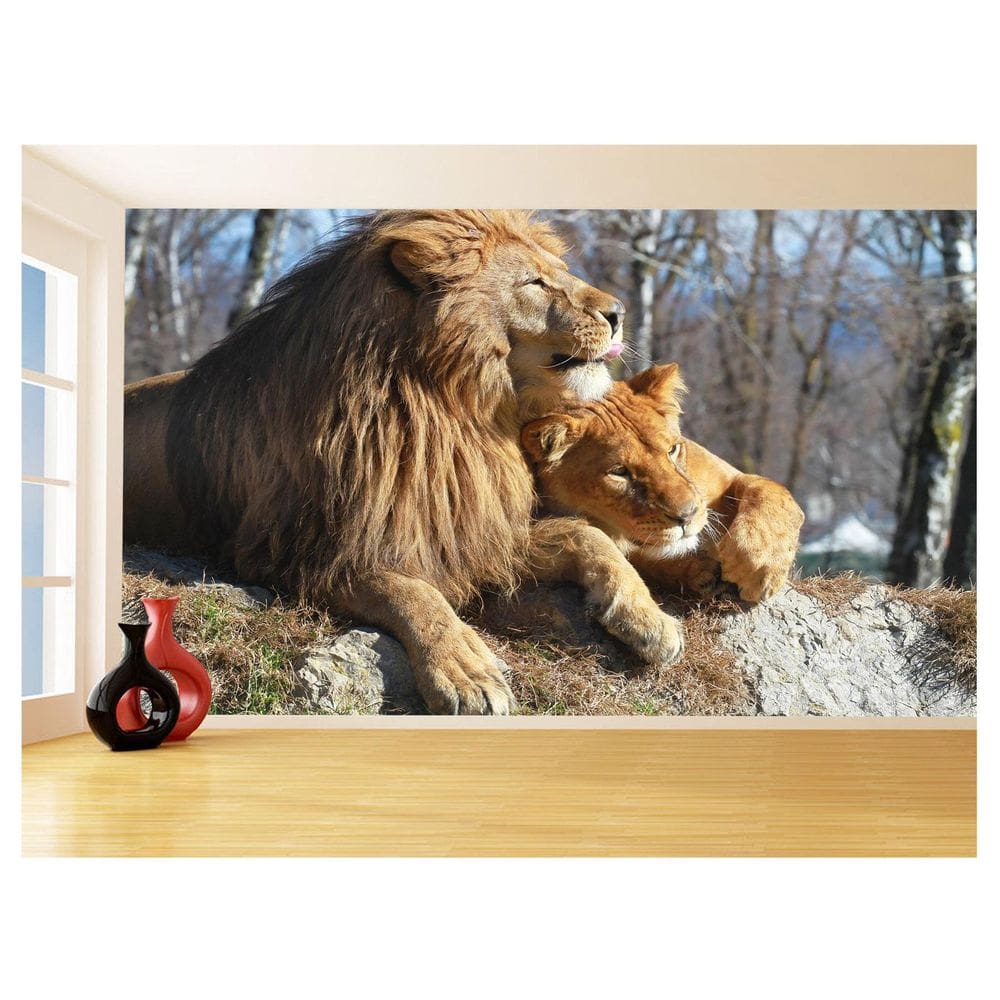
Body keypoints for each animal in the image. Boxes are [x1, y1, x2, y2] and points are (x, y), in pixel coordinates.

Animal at [124, 210, 685, 715]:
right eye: (534, 281)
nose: (619, 312)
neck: (455, 411)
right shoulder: (302, 555)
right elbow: (411, 593)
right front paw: (466, 672)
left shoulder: (471, 528)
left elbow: (583, 534)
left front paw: (650, 620)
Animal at [521, 363, 805, 603]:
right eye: (620, 472)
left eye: (672, 449)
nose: (687, 516)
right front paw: (700, 571)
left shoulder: (730, 476)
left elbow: (770, 492)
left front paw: (757, 563)